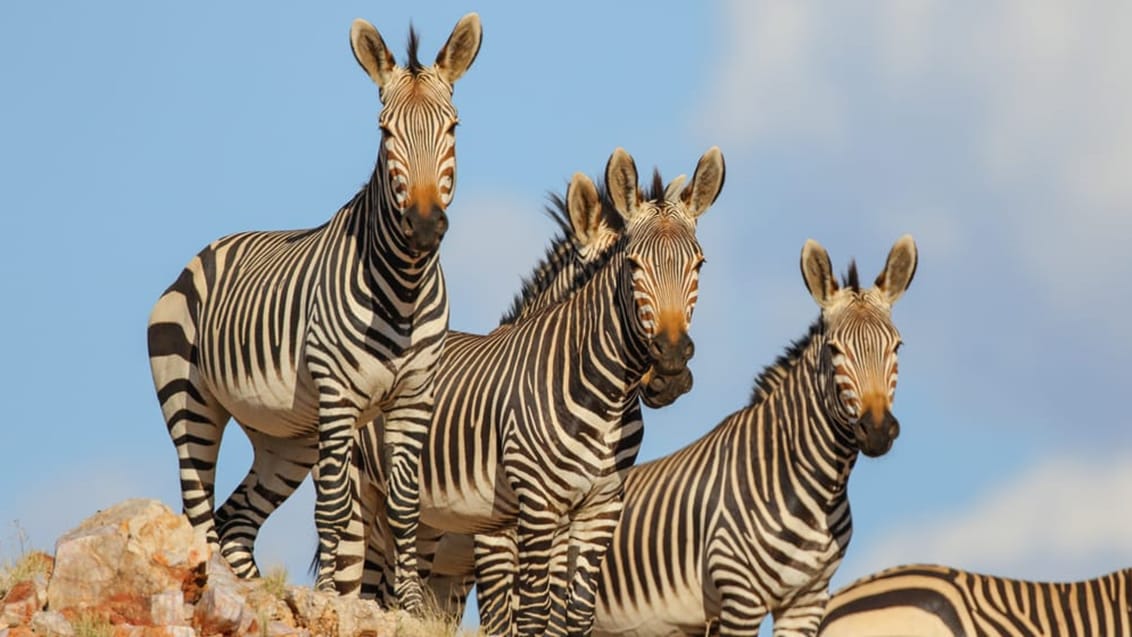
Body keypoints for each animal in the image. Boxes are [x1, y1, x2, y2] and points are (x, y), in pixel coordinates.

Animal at [143, 11, 479, 606]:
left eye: (454, 128)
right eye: (384, 132)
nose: (422, 225)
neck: (405, 286)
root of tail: (205, 251)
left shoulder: (415, 396)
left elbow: (406, 507)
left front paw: (410, 606)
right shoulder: (339, 396)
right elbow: (334, 509)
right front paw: (328, 600)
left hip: (285, 438)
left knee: (235, 521)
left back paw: (258, 593)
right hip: (190, 400)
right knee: (200, 513)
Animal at [353, 147, 724, 633]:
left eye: (699, 265)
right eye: (631, 265)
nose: (671, 367)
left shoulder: (594, 512)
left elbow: (571, 616)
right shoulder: (506, 531)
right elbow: (523, 618)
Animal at [593, 235, 919, 637]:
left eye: (897, 347)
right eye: (834, 350)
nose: (876, 430)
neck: (817, 490)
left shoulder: (807, 599)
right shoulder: (740, 595)